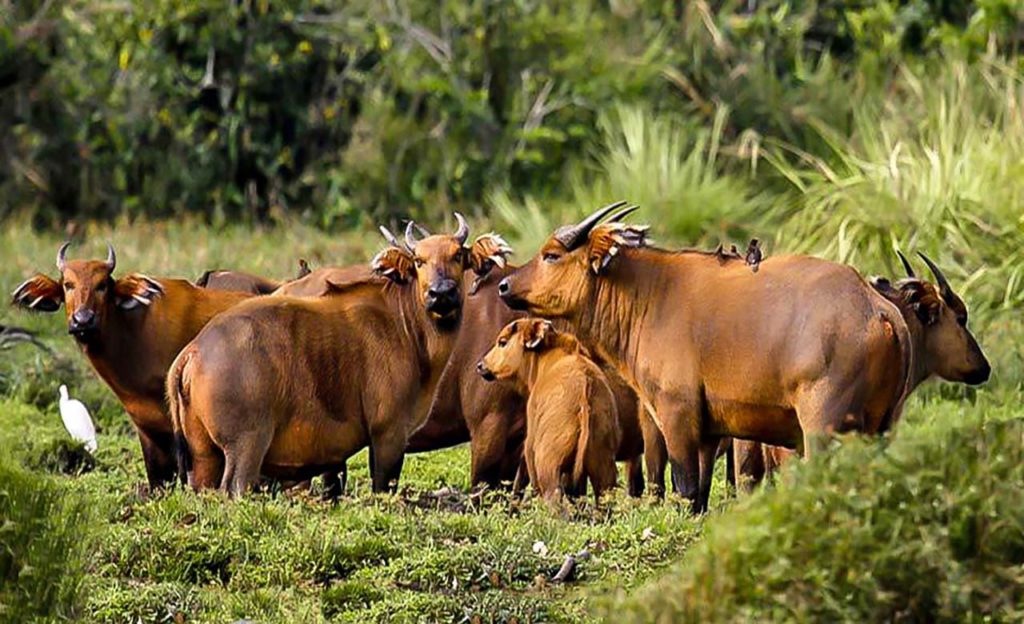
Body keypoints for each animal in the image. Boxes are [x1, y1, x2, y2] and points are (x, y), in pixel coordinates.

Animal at [169, 216, 520, 493]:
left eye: (458, 255)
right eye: (419, 260)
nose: (441, 293)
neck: (405, 326)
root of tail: (193, 352)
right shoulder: (389, 433)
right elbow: (383, 488)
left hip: (203, 454)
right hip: (246, 446)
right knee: (235, 488)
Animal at [495, 201, 937, 514]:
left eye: (551, 254)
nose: (504, 285)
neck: (650, 296)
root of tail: (877, 309)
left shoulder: (676, 415)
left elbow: (685, 487)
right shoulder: (710, 431)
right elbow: (703, 493)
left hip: (823, 427)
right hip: (882, 428)